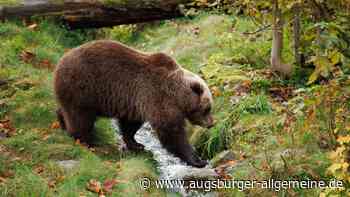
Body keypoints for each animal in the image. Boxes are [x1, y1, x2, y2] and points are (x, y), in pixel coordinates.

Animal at [53, 40, 215, 168]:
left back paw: (62, 122)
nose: (212, 123)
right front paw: (197, 160)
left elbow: (130, 125)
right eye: (207, 108)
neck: (178, 95)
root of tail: (59, 63)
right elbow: (171, 131)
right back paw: (85, 140)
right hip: (83, 87)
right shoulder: (158, 96)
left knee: (67, 110)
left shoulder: (136, 101)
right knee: (80, 117)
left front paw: (136, 144)